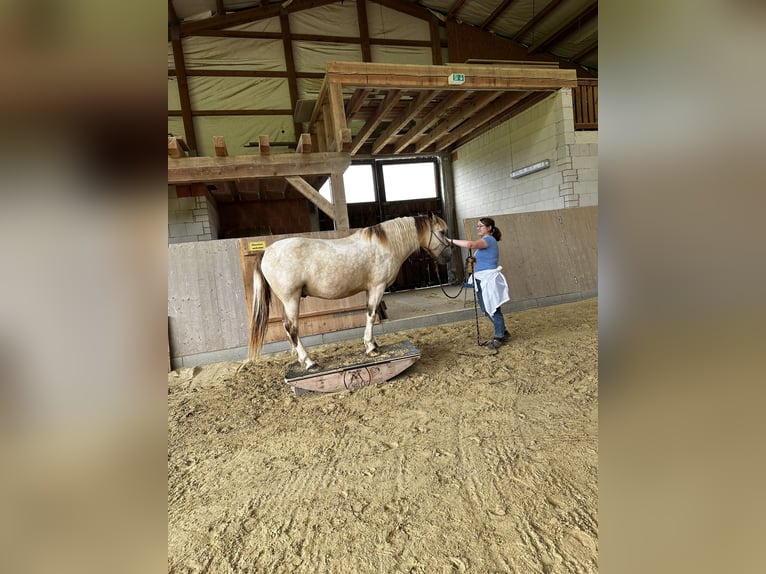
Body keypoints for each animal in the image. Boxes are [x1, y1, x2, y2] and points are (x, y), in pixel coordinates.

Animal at [250, 214, 456, 372]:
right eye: (442, 232)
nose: (448, 257)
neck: (386, 244)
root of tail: (266, 250)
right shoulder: (377, 287)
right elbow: (371, 315)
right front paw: (371, 348)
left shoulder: (370, 289)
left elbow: (370, 314)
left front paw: (373, 344)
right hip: (291, 299)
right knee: (291, 328)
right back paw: (309, 362)